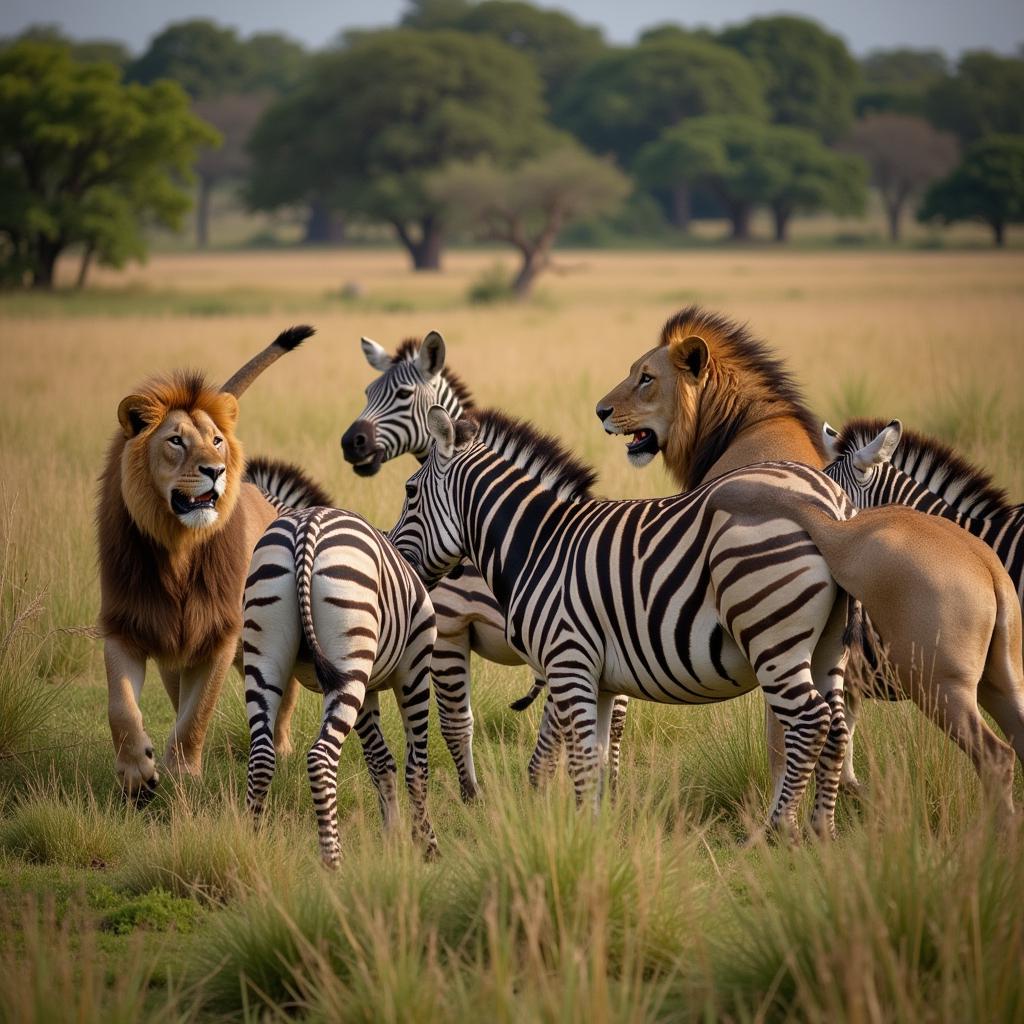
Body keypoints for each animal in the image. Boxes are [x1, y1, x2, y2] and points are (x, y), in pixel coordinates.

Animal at [96, 327, 319, 798]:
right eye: (175, 440)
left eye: (216, 440)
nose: (215, 470)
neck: (178, 549)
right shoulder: (127, 625)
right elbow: (121, 707)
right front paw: (138, 773)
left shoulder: (219, 633)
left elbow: (195, 716)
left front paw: (182, 775)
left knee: (285, 695)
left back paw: (281, 747)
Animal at [242, 507, 436, 868]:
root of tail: (306, 526)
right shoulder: (414, 669)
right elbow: (416, 767)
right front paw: (426, 844)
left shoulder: (368, 689)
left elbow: (380, 762)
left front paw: (394, 839)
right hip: (350, 651)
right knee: (320, 758)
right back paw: (333, 859)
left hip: (265, 650)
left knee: (261, 756)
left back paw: (251, 846)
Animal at [339, 333, 622, 790]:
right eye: (367, 392)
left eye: (402, 395)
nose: (351, 444)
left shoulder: (451, 631)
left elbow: (456, 725)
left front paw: (472, 795)